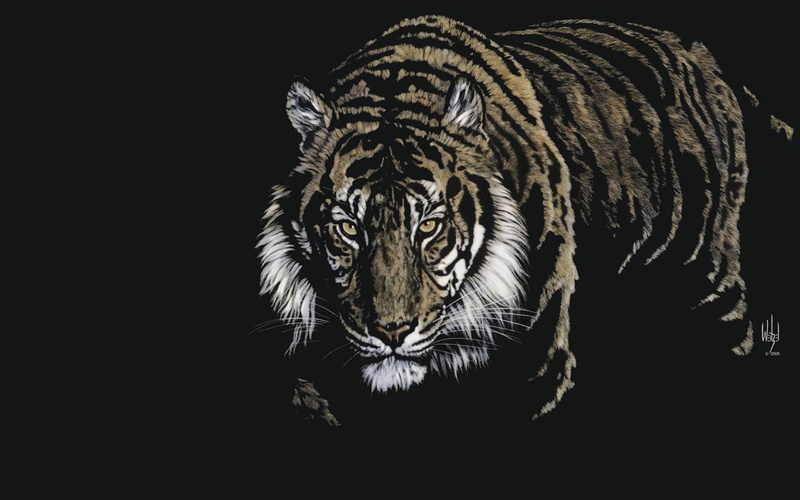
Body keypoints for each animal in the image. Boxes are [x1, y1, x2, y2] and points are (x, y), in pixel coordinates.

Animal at [257, 15, 769, 422]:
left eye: (429, 226)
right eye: (348, 228)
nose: (392, 332)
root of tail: (701, 54)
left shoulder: (534, 363)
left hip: (709, 280)